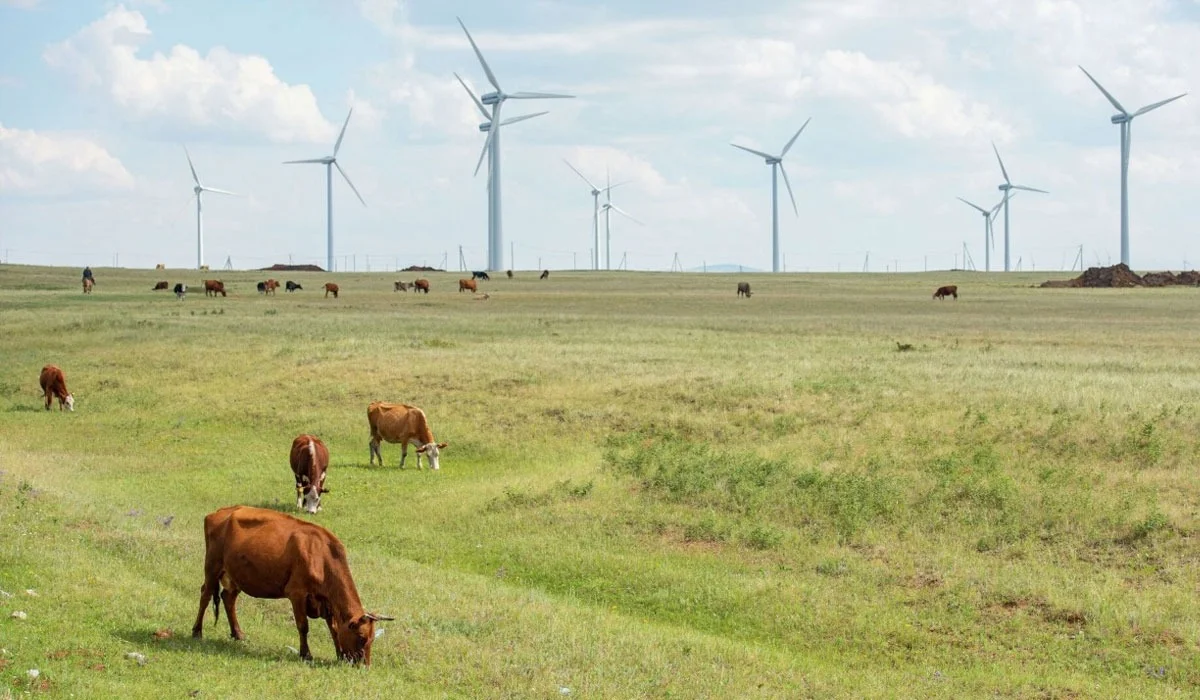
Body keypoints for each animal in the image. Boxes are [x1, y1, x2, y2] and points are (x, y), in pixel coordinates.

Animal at [189, 506, 391, 667]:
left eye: (372, 639)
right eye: (361, 638)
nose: (364, 666)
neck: (321, 556)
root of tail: (221, 512)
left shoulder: (326, 601)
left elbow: (334, 628)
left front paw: (339, 654)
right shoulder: (297, 593)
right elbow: (303, 626)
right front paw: (306, 654)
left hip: (236, 574)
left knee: (228, 598)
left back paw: (238, 634)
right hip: (212, 566)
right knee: (205, 595)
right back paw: (197, 631)